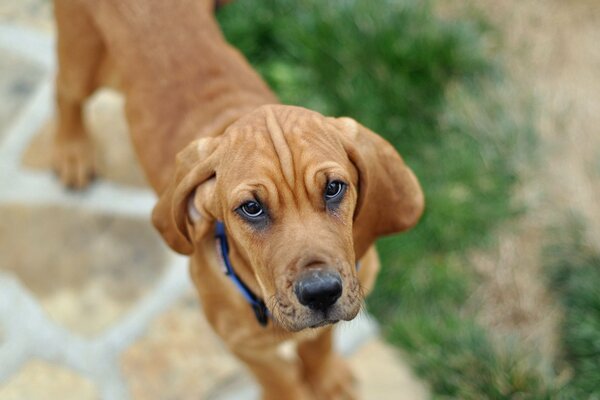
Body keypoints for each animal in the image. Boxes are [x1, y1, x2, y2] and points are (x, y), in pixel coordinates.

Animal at [52, 1, 426, 398]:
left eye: (334, 188)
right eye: (251, 208)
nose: (321, 293)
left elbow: (318, 344)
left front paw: (327, 380)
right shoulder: (242, 345)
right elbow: (280, 379)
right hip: (82, 56)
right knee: (64, 92)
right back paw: (72, 150)